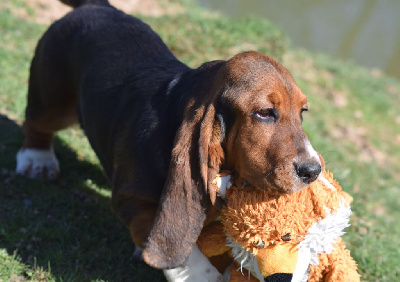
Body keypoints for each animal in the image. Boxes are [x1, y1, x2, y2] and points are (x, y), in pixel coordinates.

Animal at [15, 0, 322, 280]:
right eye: (264, 113)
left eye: (302, 113)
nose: (313, 171)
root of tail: (95, 5)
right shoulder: (132, 199)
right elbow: (179, 248)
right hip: (54, 102)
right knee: (36, 123)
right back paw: (37, 161)